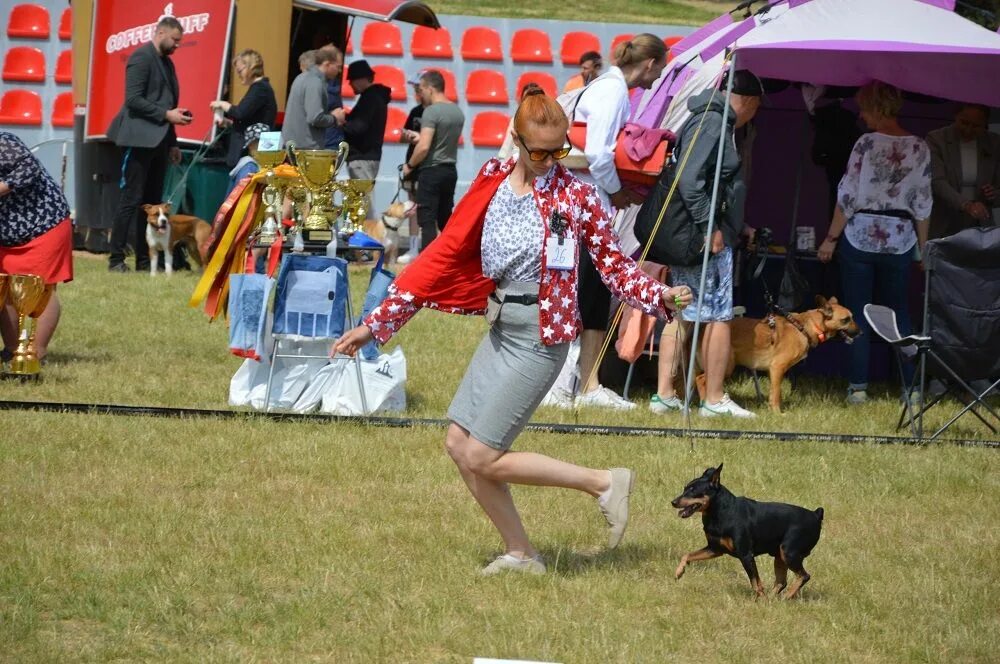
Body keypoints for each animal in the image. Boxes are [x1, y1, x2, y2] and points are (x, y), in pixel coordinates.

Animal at [672, 464, 820, 600]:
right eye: (685, 488)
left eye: (693, 491)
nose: (673, 502)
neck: (722, 511)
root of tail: (816, 515)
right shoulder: (714, 549)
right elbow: (687, 555)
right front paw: (679, 572)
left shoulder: (746, 555)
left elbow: (755, 582)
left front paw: (760, 599)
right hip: (780, 556)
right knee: (781, 582)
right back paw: (772, 600)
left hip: (789, 553)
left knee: (804, 576)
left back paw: (786, 596)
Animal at [700, 296, 864, 412]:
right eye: (846, 319)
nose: (861, 333)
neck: (804, 327)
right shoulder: (777, 368)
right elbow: (776, 394)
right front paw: (777, 412)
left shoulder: (774, 372)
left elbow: (774, 393)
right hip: (725, 364)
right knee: (701, 379)